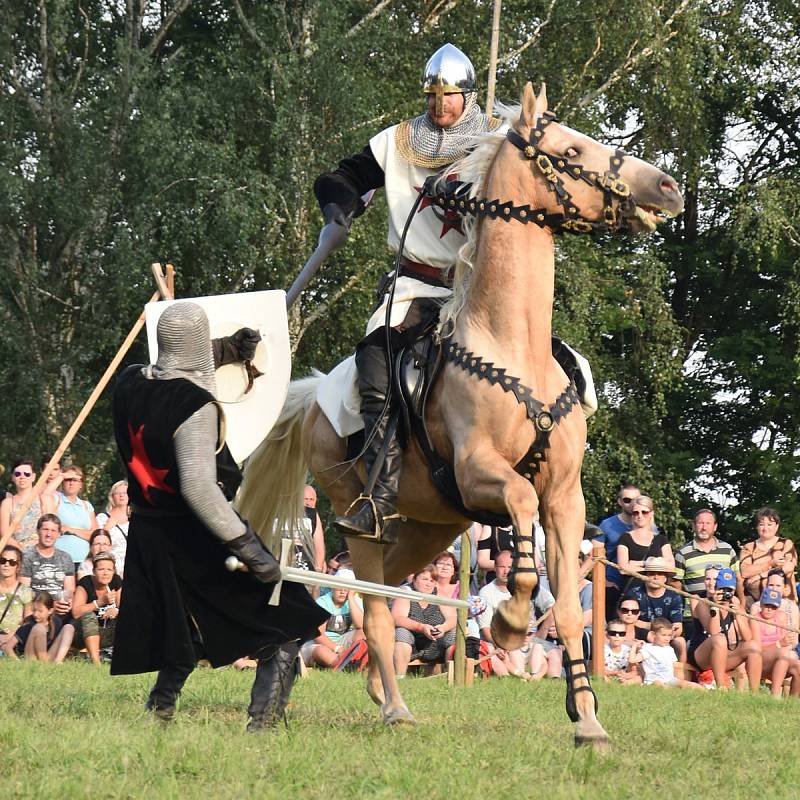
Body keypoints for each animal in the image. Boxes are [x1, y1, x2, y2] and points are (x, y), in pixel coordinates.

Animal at [238, 81, 680, 744]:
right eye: (572, 149)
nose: (668, 188)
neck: (512, 345)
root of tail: (315, 397)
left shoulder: (565, 498)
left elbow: (569, 610)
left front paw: (587, 720)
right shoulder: (481, 472)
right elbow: (519, 519)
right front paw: (511, 622)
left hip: (430, 528)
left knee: (379, 589)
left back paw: (355, 687)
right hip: (359, 519)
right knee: (372, 606)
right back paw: (390, 705)